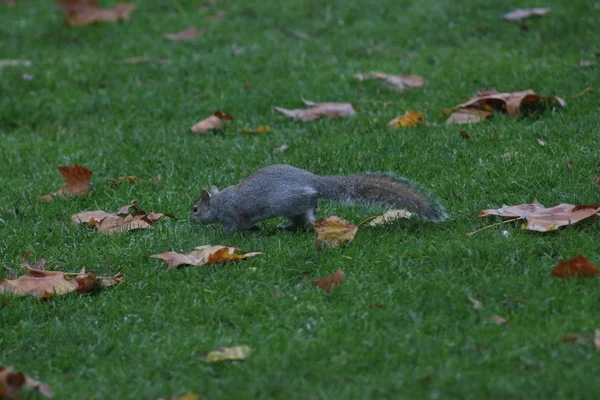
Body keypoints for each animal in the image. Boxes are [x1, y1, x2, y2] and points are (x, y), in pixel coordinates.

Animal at [191, 163, 446, 234]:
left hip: (288, 203)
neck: (218, 202)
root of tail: (314, 182)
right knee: (304, 218)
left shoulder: (230, 216)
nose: (191, 220)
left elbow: (232, 229)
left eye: (194, 209)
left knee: (305, 219)